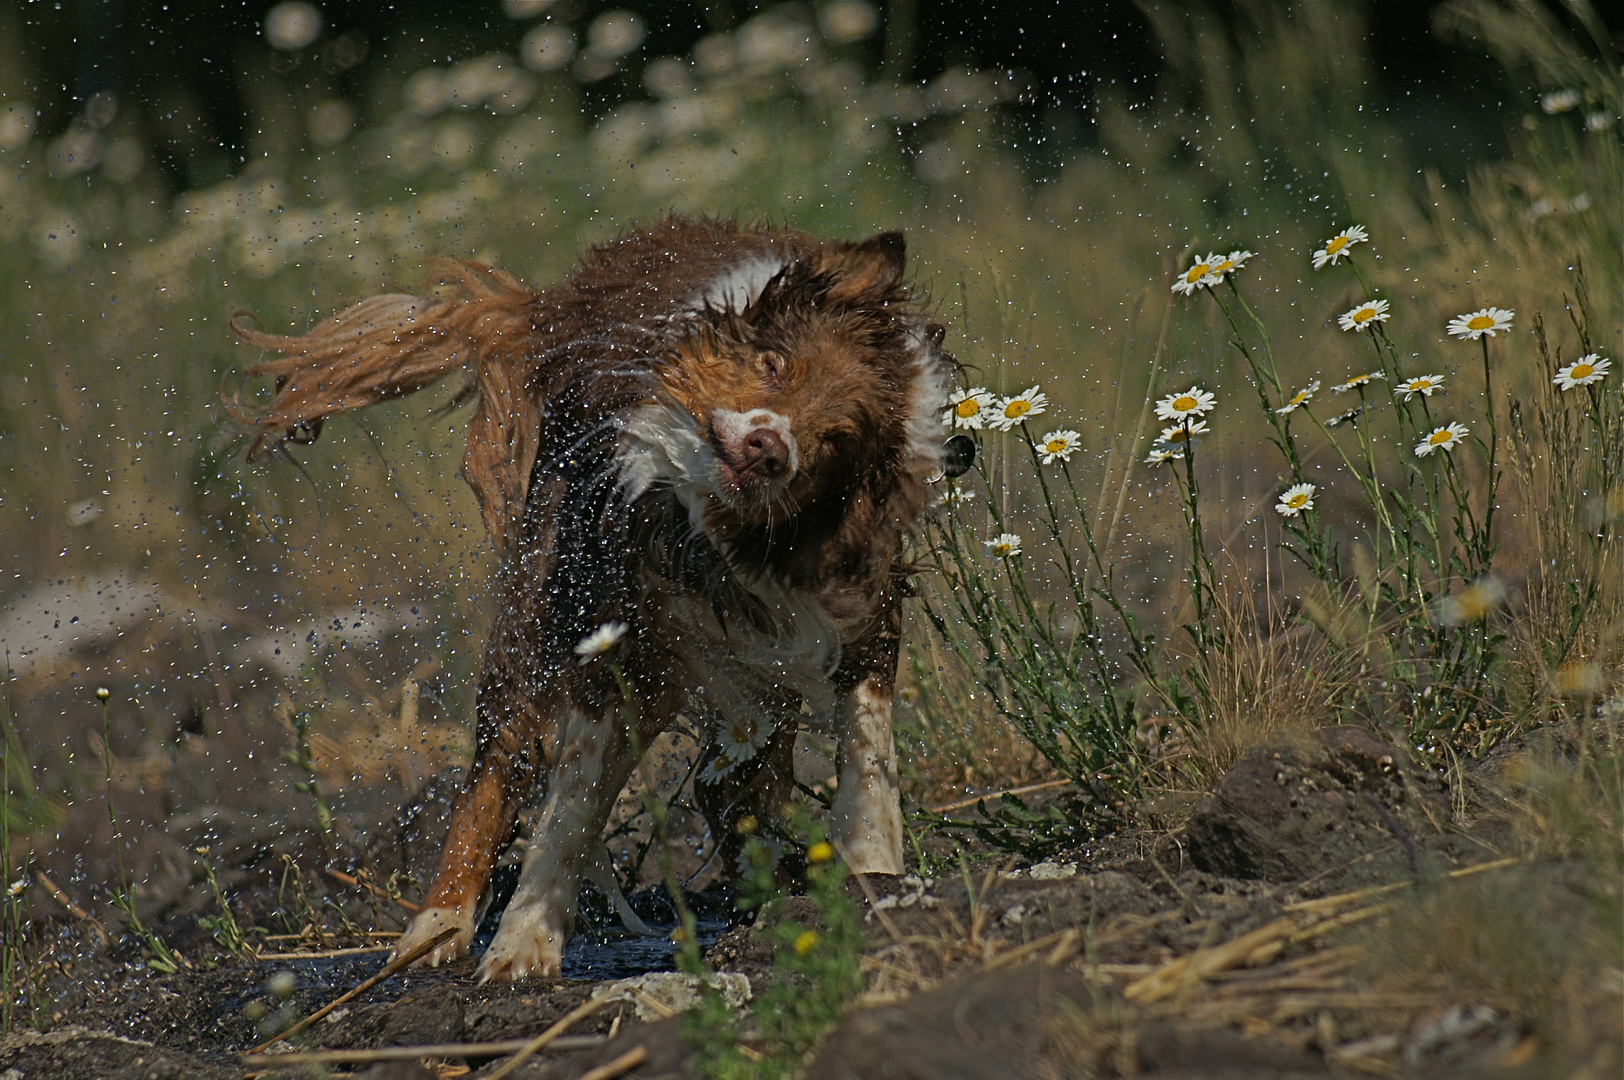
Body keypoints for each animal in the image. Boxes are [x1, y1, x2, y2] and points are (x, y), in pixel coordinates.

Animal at [235, 217, 954, 974]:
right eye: (774, 364)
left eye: (833, 444)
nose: (768, 450)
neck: (702, 529)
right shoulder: (602, 621)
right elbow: (571, 805)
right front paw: (523, 941)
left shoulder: (848, 612)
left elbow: (869, 752)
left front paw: (872, 868)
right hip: (537, 618)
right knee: (498, 767)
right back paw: (438, 923)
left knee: (725, 780)